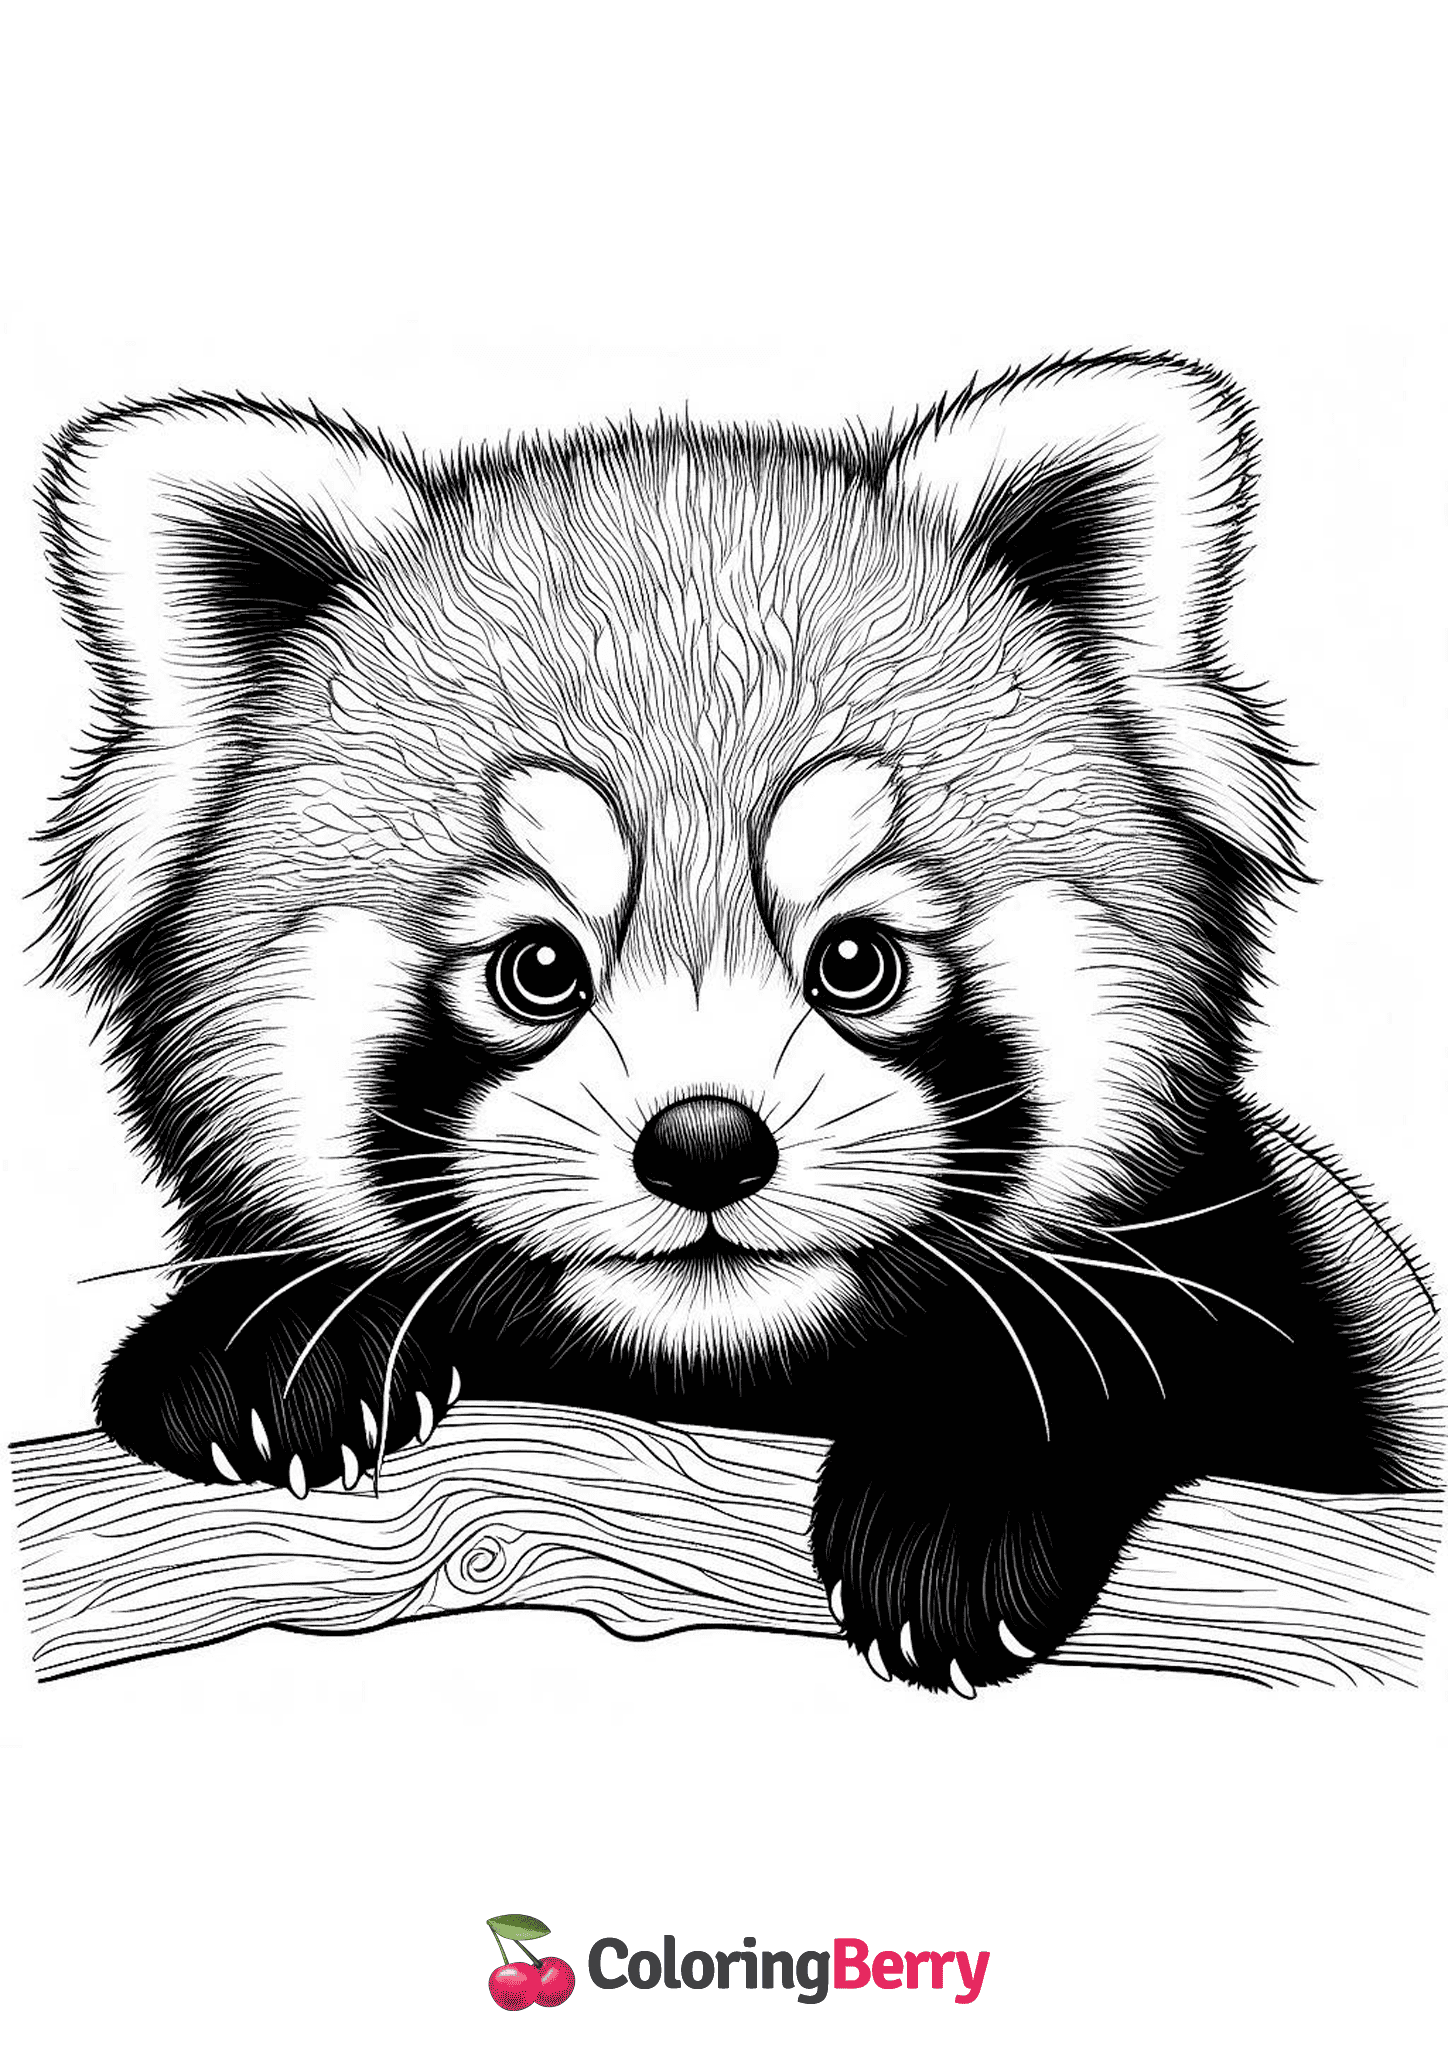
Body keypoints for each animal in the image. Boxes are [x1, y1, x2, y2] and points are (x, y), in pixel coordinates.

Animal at [38, 352, 1439, 1692]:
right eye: (536, 967)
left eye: (857, 962)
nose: (705, 1144)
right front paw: (270, 1346)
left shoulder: (1298, 1301)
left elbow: (1158, 1343)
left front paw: (959, 1494)